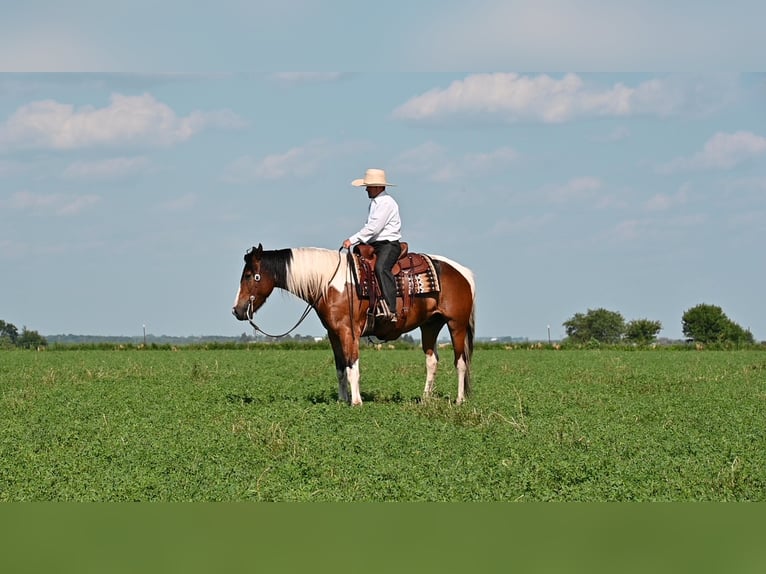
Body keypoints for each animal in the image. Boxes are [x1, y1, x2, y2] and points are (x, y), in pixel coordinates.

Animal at [231, 245, 476, 408]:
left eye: (250, 275)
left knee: (461, 362)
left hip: (456, 325)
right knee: (432, 361)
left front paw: (356, 402)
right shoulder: (333, 334)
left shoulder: (349, 331)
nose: (237, 310)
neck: (330, 283)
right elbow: (340, 368)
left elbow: (352, 366)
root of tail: (463, 272)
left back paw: (459, 400)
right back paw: (425, 399)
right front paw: (342, 400)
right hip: (430, 325)